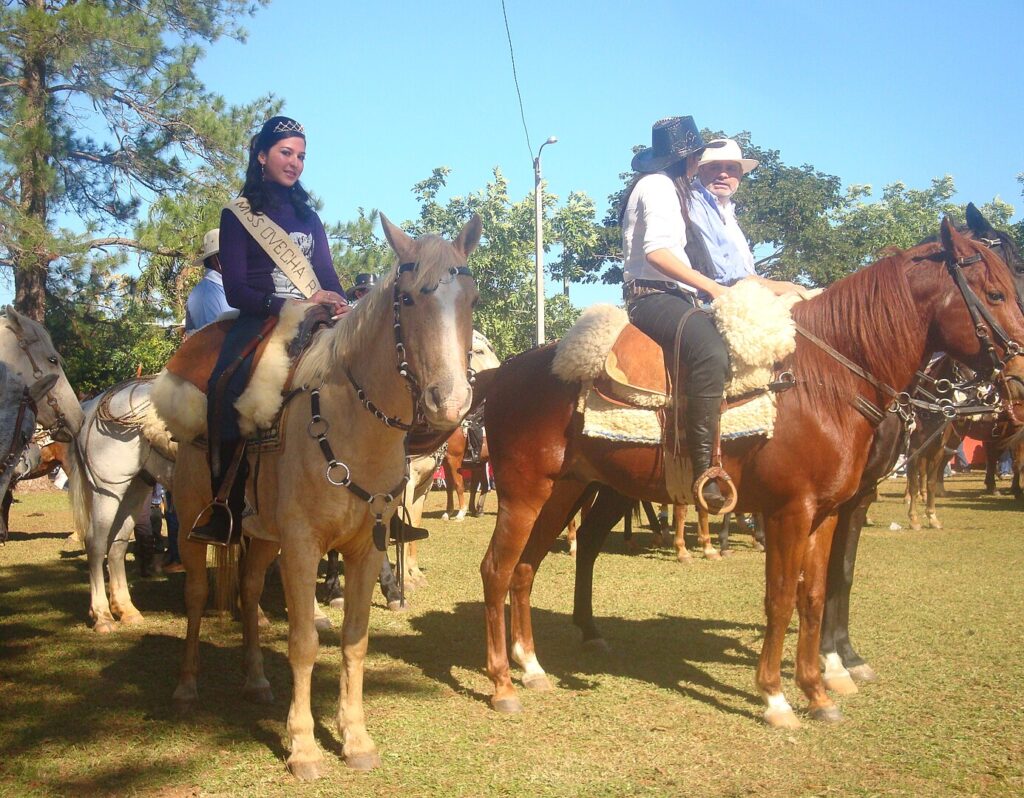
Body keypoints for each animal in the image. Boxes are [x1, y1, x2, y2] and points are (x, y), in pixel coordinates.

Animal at [477, 220, 1024, 729]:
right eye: (996, 294)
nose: (1017, 383)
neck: (823, 383)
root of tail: (501, 374)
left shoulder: (827, 512)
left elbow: (815, 594)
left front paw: (818, 690)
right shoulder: (790, 511)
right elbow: (780, 598)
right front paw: (776, 697)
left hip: (565, 490)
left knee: (529, 567)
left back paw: (534, 666)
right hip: (523, 493)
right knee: (497, 570)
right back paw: (503, 682)